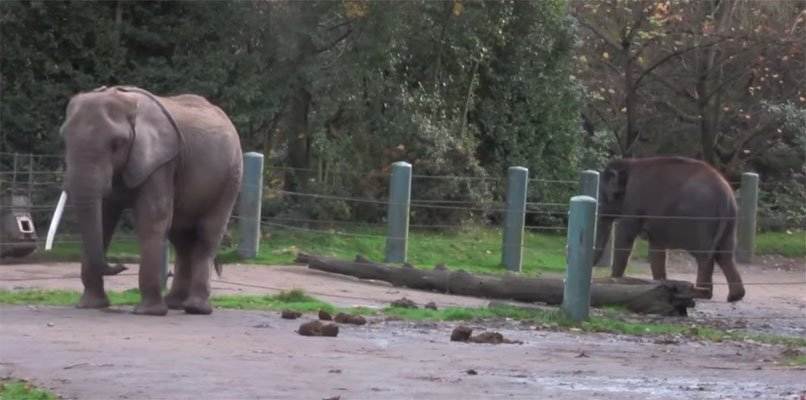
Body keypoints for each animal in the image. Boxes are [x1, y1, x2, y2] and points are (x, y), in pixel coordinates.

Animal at [60, 85, 243, 315]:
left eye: (117, 144)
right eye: (65, 139)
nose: (121, 266)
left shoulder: (160, 162)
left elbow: (152, 218)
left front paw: (148, 312)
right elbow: (103, 219)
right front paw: (90, 306)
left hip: (230, 177)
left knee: (207, 235)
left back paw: (195, 308)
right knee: (181, 238)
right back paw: (175, 303)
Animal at [592, 156, 745, 302]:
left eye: (600, 203)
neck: (628, 164)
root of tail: (725, 195)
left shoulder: (632, 203)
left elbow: (625, 236)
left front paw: (614, 281)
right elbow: (656, 249)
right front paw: (659, 285)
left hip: (702, 220)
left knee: (705, 256)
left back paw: (701, 294)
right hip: (731, 221)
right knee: (725, 255)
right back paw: (735, 296)